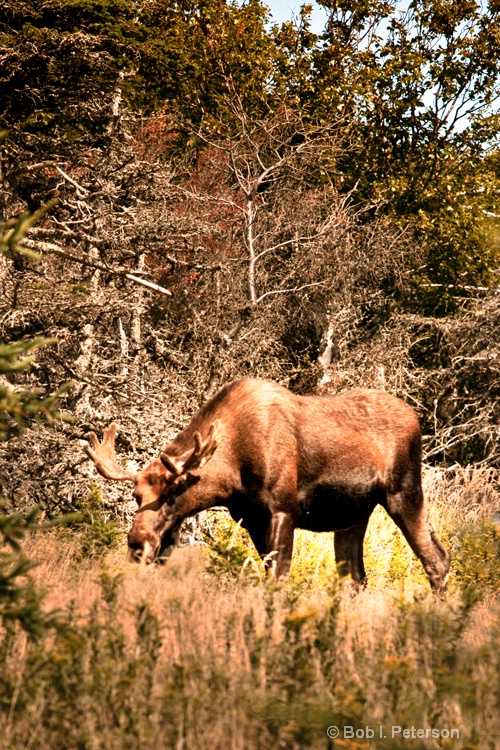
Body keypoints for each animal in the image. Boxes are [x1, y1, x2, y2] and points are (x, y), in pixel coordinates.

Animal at [84, 378, 452, 596]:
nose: (137, 544)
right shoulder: (250, 518)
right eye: (137, 496)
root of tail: (417, 419)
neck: (232, 473)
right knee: (356, 578)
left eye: (174, 493)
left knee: (437, 558)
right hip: (352, 516)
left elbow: (279, 577)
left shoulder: (283, 510)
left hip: (404, 492)